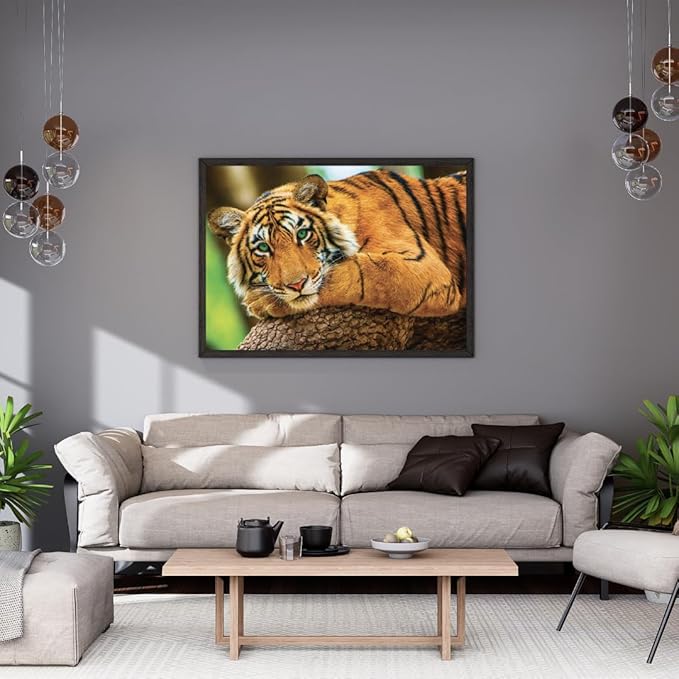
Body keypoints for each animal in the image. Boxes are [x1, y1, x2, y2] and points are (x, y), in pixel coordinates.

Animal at [207, 169, 467, 320]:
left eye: (302, 234)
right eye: (262, 248)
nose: (296, 285)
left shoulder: (425, 268)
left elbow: (361, 272)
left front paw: (262, 300)